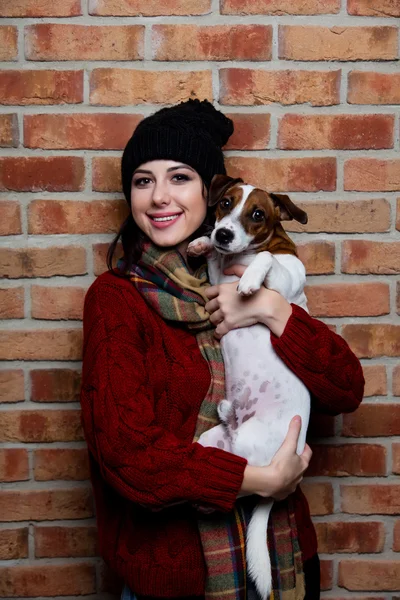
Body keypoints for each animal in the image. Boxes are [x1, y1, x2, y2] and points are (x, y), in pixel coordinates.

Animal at [189, 173, 310, 600]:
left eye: (258, 214)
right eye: (225, 203)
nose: (223, 233)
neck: (236, 258)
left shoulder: (285, 280)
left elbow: (268, 260)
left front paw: (251, 279)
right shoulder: (216, 276)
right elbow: (212, 260)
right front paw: (202, 243)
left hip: (249, 445)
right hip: (214, 445)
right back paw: (226, 414)